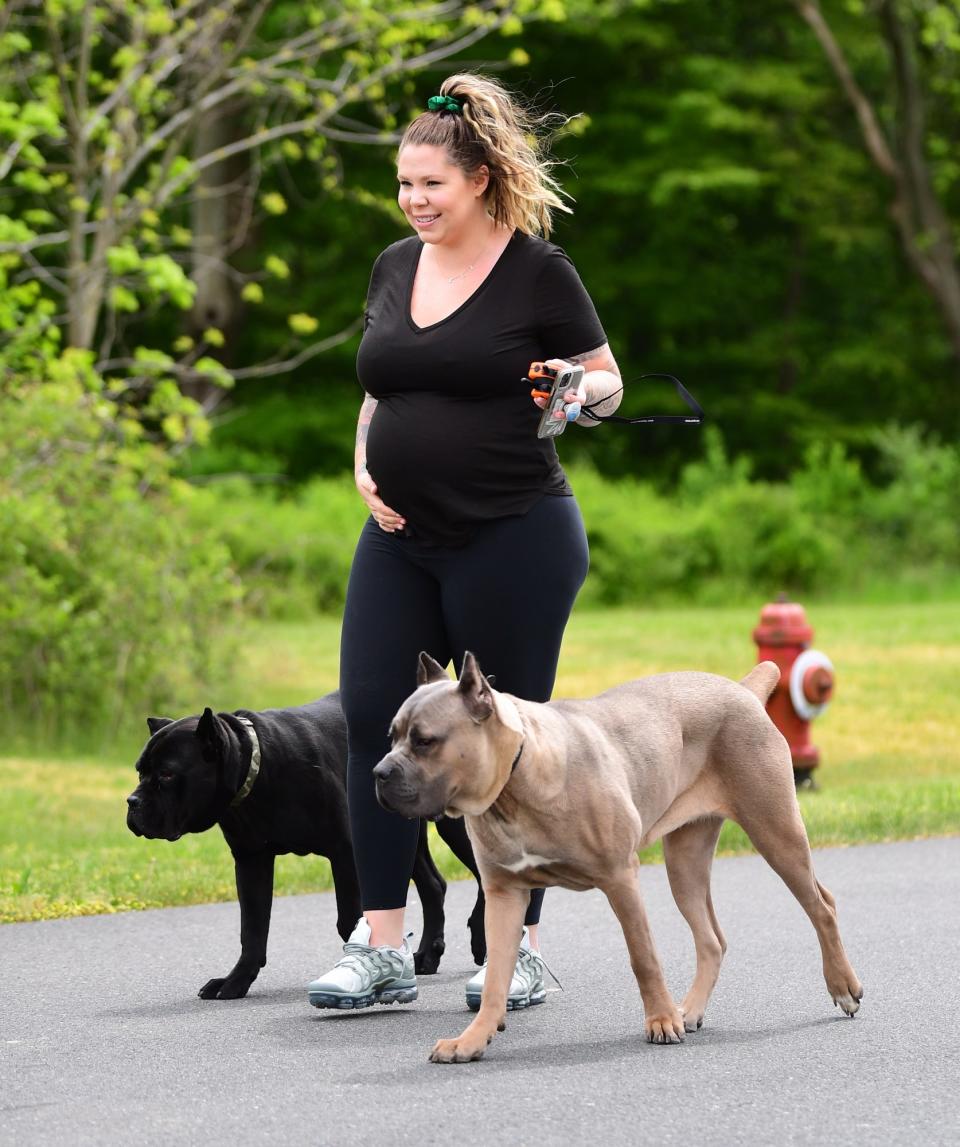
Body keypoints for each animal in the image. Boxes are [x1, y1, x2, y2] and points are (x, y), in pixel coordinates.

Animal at [125, 688, 486, 995]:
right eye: (140, 771)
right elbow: (252, 929)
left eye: (167, 774)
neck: (258, 769)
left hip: (460, 822)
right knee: (433, 884)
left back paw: (483, 943)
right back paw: (427, 955)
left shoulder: (345, 853)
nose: (132, 801)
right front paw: (236, 980)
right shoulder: (251, 861)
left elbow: (348, 918)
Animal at [371, 651, 862, 1059]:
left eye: (425, 740)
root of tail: (742, 690)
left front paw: (660, 1021)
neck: (514, 781)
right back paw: (690, 1009)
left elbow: (643, 957)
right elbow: (495, 980)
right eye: (391, 736)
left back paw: (842, 986)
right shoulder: (505, 896)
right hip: (685, 863)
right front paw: (473, 1038)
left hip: (776, 832)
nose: (378, 772)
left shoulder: (620, 878)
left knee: (822, 906)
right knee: (712, 940)